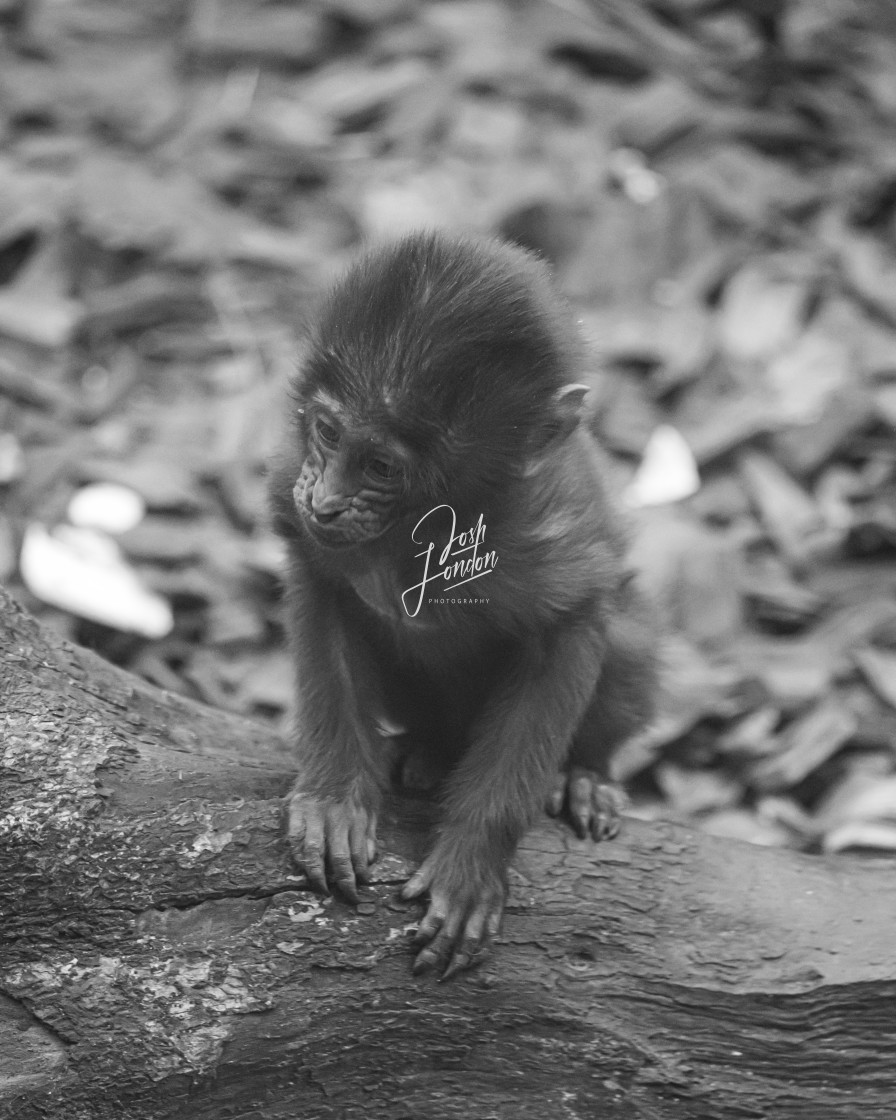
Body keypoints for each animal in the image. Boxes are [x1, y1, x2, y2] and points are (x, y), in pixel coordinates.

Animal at [269, 229, 654, 981]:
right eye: (328, 433)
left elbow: (573, 625)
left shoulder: (548, 524)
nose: (325, 502)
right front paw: (333, 799)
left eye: (381, 467)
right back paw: (424, 752)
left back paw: (584, 776)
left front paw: (473, 864)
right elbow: (324, 585)